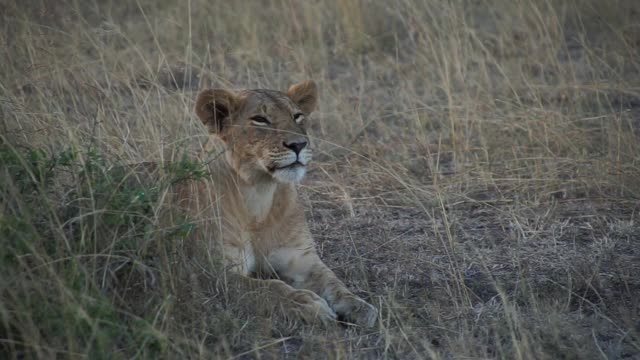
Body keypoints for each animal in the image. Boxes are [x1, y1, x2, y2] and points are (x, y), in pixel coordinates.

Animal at [172, 80, 378, 328]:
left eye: (297, 116)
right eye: (260, 119)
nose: (299, 145)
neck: (259, 194)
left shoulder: (301, 258)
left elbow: (332, 281)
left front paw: (359, 306)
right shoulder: (212, 274)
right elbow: (269, 289)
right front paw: (308, 304)